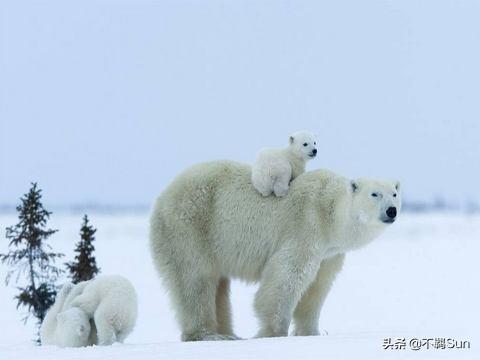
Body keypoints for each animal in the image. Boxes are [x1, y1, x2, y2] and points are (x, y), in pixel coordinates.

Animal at [151, 160, 402, 340]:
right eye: (375, 194)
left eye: (394, 194)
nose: (391, 211)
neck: (329, 210)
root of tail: (163, 196)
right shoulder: (306, 225)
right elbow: (288, 275)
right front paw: (274, 332)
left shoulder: (330, 253)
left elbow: (318, 286)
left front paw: (310, 332)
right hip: (191, 226)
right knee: (195, 278)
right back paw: (207, 334)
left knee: (219, 286)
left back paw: (229, 334)